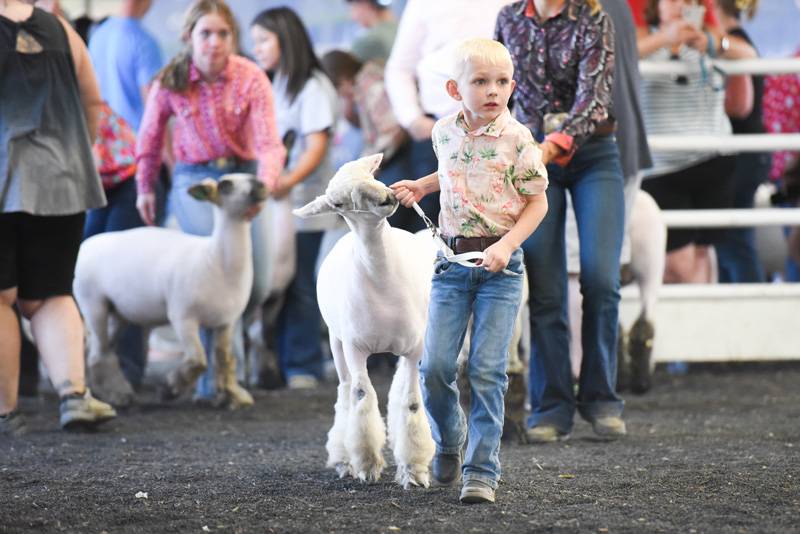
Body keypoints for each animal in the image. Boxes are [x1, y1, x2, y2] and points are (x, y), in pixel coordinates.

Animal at [73, 176, 264, 410]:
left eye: (251, 177)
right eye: (225, 186)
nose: (261, 185)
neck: (215, 259)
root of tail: (85, 244)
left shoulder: (226, 322)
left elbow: (225, 359)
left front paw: (235, 395)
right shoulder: (183, 316)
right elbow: (198, 360)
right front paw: (170, 389)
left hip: (117, 313)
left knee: (96, 349)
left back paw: (103, 391)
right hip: (93, 303)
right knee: (99, 354)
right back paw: (119, 395)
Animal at [294, 154, 434, 490]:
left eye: (372, 176)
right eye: (338, 203)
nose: (388, 198)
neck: (382, 282)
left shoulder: (415, 347)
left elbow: (411, 402)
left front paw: (414, 470)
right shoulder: (355, 347)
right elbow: (362, 397)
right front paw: (367, 465)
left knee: (398, 388)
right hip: (336, 341)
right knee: (345, 393)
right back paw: (344, 459)